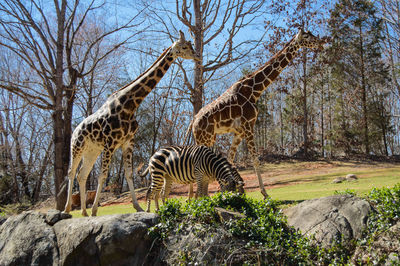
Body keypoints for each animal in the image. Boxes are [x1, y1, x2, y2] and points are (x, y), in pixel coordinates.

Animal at [63, 31, 198, 216]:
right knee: (71, 172)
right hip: (77, 147)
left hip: (92, 151)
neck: (130, 105)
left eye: (191, 45)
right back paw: (68, 209)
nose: (197, 56)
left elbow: (128, 174)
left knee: (81, 175)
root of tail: (75, 130)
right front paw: (95, 210)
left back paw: (83, 211)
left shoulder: (128, 142)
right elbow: (103, 176)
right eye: (184, 47)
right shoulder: (110, 143)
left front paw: (138, 207)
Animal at [186, 30, 326, 198]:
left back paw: (192, 198)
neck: (254, 90)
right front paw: (264, 193)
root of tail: (193, 122)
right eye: (306, 36)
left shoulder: (239, 132)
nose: (321, 43)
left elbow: (230, 159)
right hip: (205, 138)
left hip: (207, 137)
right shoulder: (248, 126)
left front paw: (229, 191)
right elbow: (255, 159)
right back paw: (195, 198)